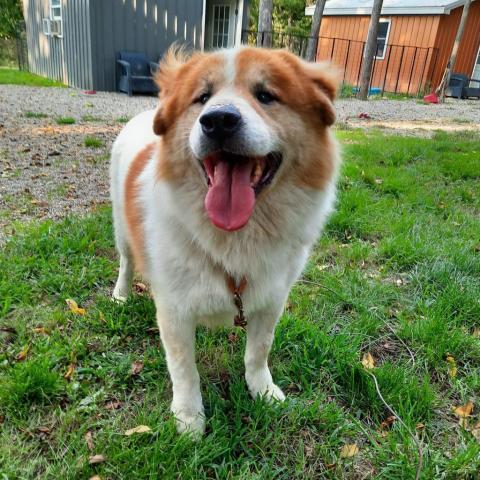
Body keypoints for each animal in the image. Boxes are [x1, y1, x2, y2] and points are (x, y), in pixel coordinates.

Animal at [109, 47, 342, 436]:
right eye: (202, 98)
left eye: (266, 95)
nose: (218, 121)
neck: (234, 239)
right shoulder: (173, 312)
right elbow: (184, 371)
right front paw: (189, 419)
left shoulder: (271, 301)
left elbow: (258, 352)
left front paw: (262, 391)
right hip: (122, 231)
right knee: (126, 264)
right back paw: (120, 295)